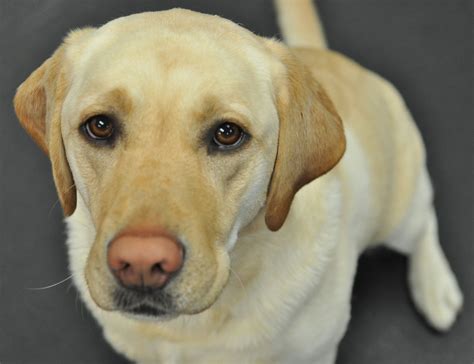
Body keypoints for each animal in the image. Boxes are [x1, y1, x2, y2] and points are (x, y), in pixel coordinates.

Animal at [14, 1, 462, 362]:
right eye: (100, 126)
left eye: (227, 133)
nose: (141, 262)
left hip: (398, 208)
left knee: (424, 222)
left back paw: (435, 287)